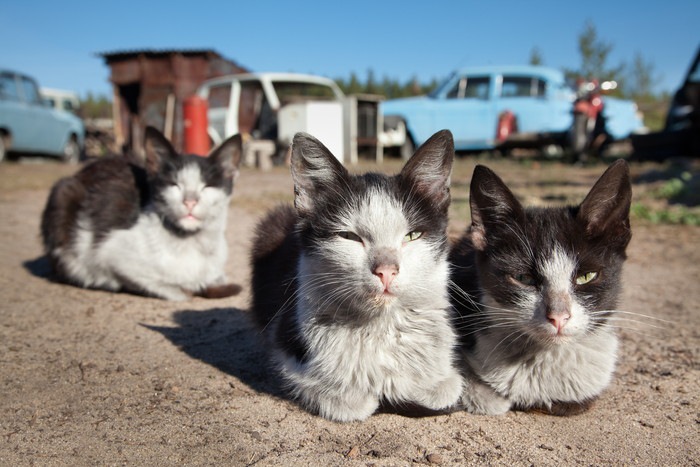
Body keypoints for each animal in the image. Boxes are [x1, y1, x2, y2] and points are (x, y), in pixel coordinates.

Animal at [252, 130, 464, 422]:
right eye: (349, 237)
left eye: (412, 236)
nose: (386, 270)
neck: (380, 326)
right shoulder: (285, 342)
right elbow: (351, 403)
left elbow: (449, 388)